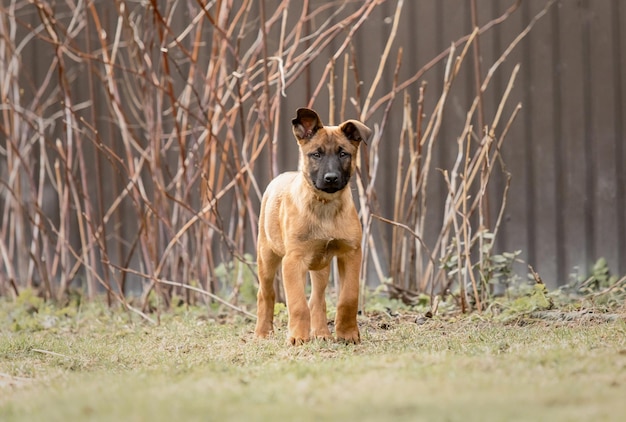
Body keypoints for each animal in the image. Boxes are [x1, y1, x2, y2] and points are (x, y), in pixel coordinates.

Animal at [254, 107, 370, 344]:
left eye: (343, 154)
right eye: (316, 154)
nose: (331, 178)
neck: (325, 206)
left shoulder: (351, 254)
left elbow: (348, 297)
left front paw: (347, 334)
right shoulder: (293, 260)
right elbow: (297, 304)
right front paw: (298, 337)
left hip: (320, 265)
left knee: (317, 298)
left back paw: (322, 333)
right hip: (267, 256)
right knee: (266, 293)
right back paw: (263, 332)